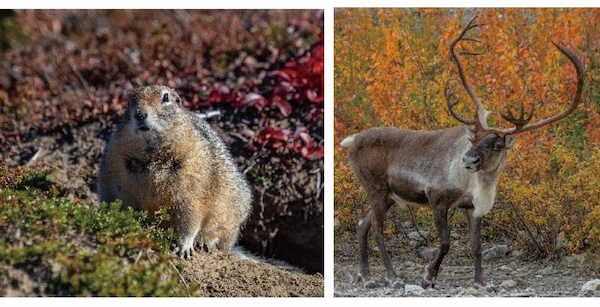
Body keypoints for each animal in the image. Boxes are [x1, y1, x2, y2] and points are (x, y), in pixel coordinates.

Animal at [97, 85, 252, 260]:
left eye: (166, 97)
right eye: (128, 101)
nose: (140, 114)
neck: (153, 153)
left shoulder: (191, 187)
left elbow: (189, 219)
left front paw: (184, 249)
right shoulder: (118, 172)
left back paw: (206, 242)